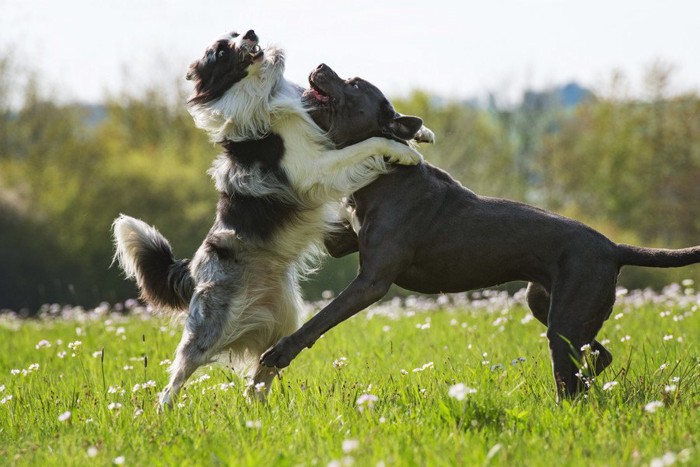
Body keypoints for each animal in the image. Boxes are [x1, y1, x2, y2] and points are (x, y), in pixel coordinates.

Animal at [112, 31, 424, 408]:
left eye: (235, 33)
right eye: (222, 51)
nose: (250, 33)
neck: (263, 92)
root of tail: (192, 268)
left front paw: (421, 135)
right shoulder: (313, 168)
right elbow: (366, 145)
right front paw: (405, 151)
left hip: (282, 318)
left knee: (263, 370)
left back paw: (258, 410)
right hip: (210, 325)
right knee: (178, 375)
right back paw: (164, 412)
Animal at [258, 63, 700, 398]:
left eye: (352, 84)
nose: (319, 65)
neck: (383, 175)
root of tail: (614, 246)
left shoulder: (372, 281)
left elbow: (320, 319)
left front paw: (278, 354)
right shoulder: (341, 240)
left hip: (566, 319)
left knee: (571, 376)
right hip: (546, 303)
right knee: (595, 356)